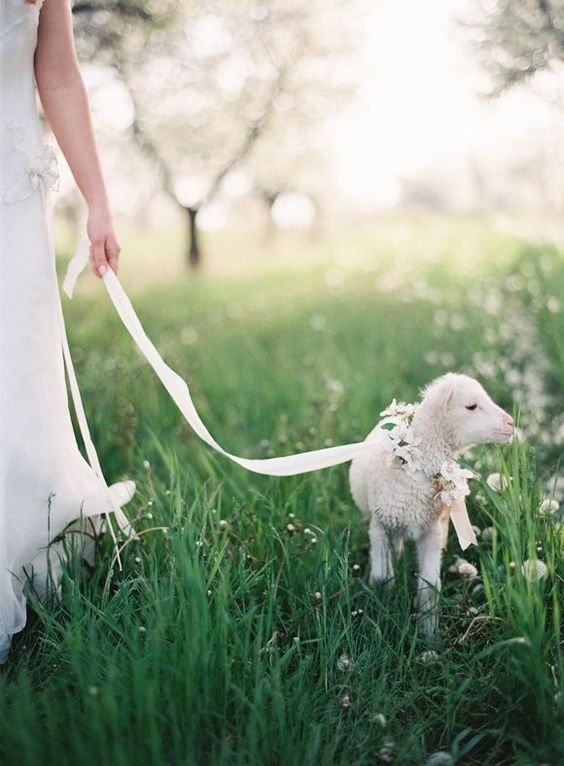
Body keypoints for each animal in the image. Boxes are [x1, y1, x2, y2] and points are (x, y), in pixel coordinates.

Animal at [350, 376, 512, 636]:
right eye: (471, 406)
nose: (511, 424)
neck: (416, 469)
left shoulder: (431, 531)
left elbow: (429, 589)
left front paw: (430, 636)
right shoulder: (380, 526)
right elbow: (381, 579)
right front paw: (380, 615)